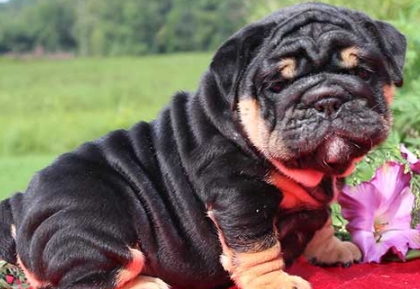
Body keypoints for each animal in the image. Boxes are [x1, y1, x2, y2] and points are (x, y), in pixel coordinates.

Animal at [0, 2, 406, 288]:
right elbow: (259, 247)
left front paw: (332, 249)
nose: (327, 99)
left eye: (363, 72)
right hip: (93, 226)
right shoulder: (239, 197)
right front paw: (276, 282)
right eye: (276, 85)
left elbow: (321, 220)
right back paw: (147, 284)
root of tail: (21, 205)